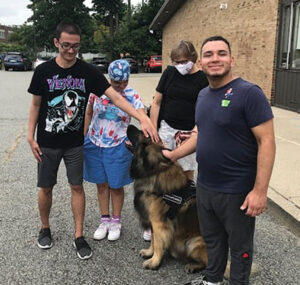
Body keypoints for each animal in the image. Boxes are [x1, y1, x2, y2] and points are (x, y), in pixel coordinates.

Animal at [125, 125, 207, 272]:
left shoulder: (159, 223)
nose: (129, 125)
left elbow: (158, 243)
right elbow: (153, 239)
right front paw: (149, 253)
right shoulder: (153, 221)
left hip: (193, 243)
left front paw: (154, 262)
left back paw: (193, 265)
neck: (153, 171)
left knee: (207, 262)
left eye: (141, 133)